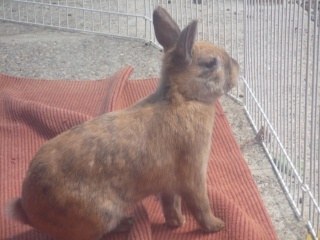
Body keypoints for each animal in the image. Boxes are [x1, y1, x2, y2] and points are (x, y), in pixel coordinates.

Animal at [5, 5, 238, 240]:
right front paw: (217, 226)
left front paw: (178, 223)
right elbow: (200, 205)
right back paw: (127, 223)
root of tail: (29, 212)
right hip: (100, 216)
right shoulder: (193, 175)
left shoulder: (169, 186)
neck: (184, 97)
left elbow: (171, 205)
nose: (237, 68)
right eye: (210, 63)